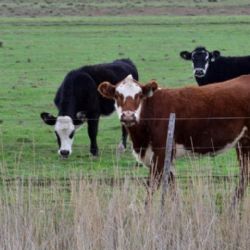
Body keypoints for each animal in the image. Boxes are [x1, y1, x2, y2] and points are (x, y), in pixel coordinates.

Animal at [98, 73, 250, 204]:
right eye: (117, 95)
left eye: (139, 95)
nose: (128, 116)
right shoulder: (165, 157)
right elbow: (173, 190)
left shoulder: (162, 152)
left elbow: (151, 187)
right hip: (243, 143)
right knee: (244, 175)